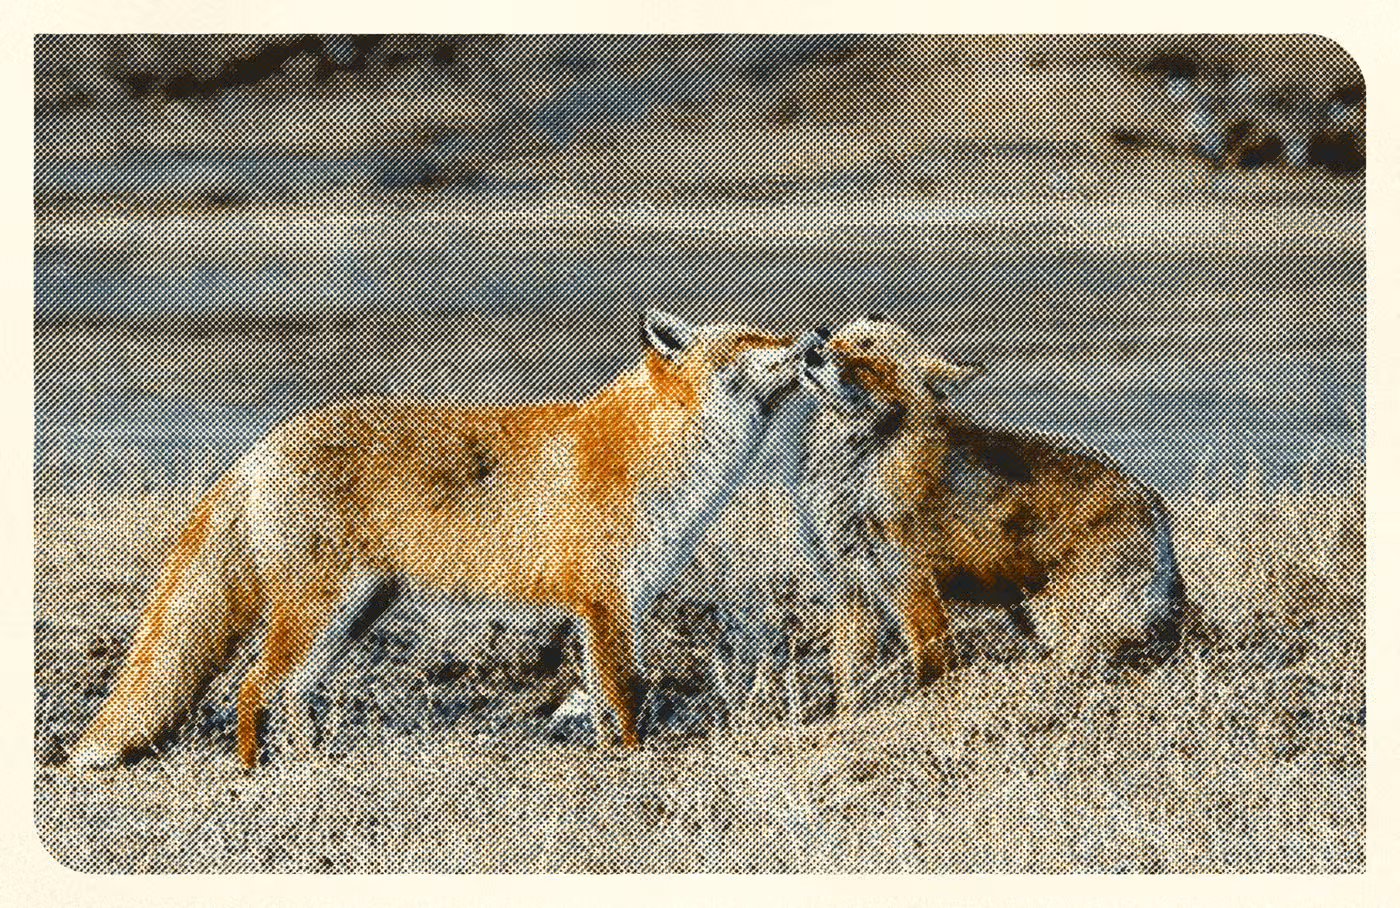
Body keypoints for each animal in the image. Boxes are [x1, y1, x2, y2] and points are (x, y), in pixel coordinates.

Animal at [70, 310, 821, 769]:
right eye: (752, 341)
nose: (815, 336)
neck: (663, 455)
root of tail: (261, 446)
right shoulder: (606, 598)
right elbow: (626, 691)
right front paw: (635, 760)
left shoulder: (611, 604)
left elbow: (603, 696)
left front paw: (609, 752)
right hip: (321, 610)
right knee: (255, 686)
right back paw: (257, 774)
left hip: (354, 613)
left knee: (290, 692)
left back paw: (313, 766)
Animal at [794, 316, 1189, 702]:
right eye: (833, 338)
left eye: (867, 353)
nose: (812, 351)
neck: (859, 466)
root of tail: (1153, 501)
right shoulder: (851, 588)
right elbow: (849, 683)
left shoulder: (914, 586)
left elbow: (930, 671)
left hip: (1059, 616)